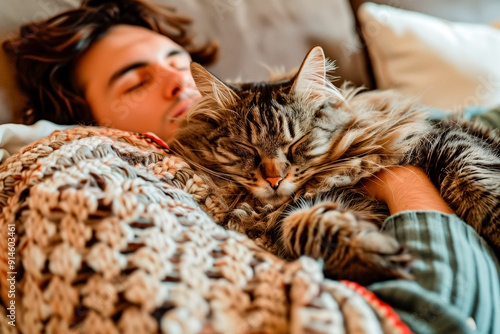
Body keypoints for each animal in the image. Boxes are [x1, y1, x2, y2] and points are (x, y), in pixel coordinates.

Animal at [169, 45, 500, 284]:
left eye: (296, 144)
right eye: (247, 148)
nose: (274, 180)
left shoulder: (441, 138)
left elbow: (472, 174)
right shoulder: (286, 223)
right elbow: (303, 227)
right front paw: (372, 254)